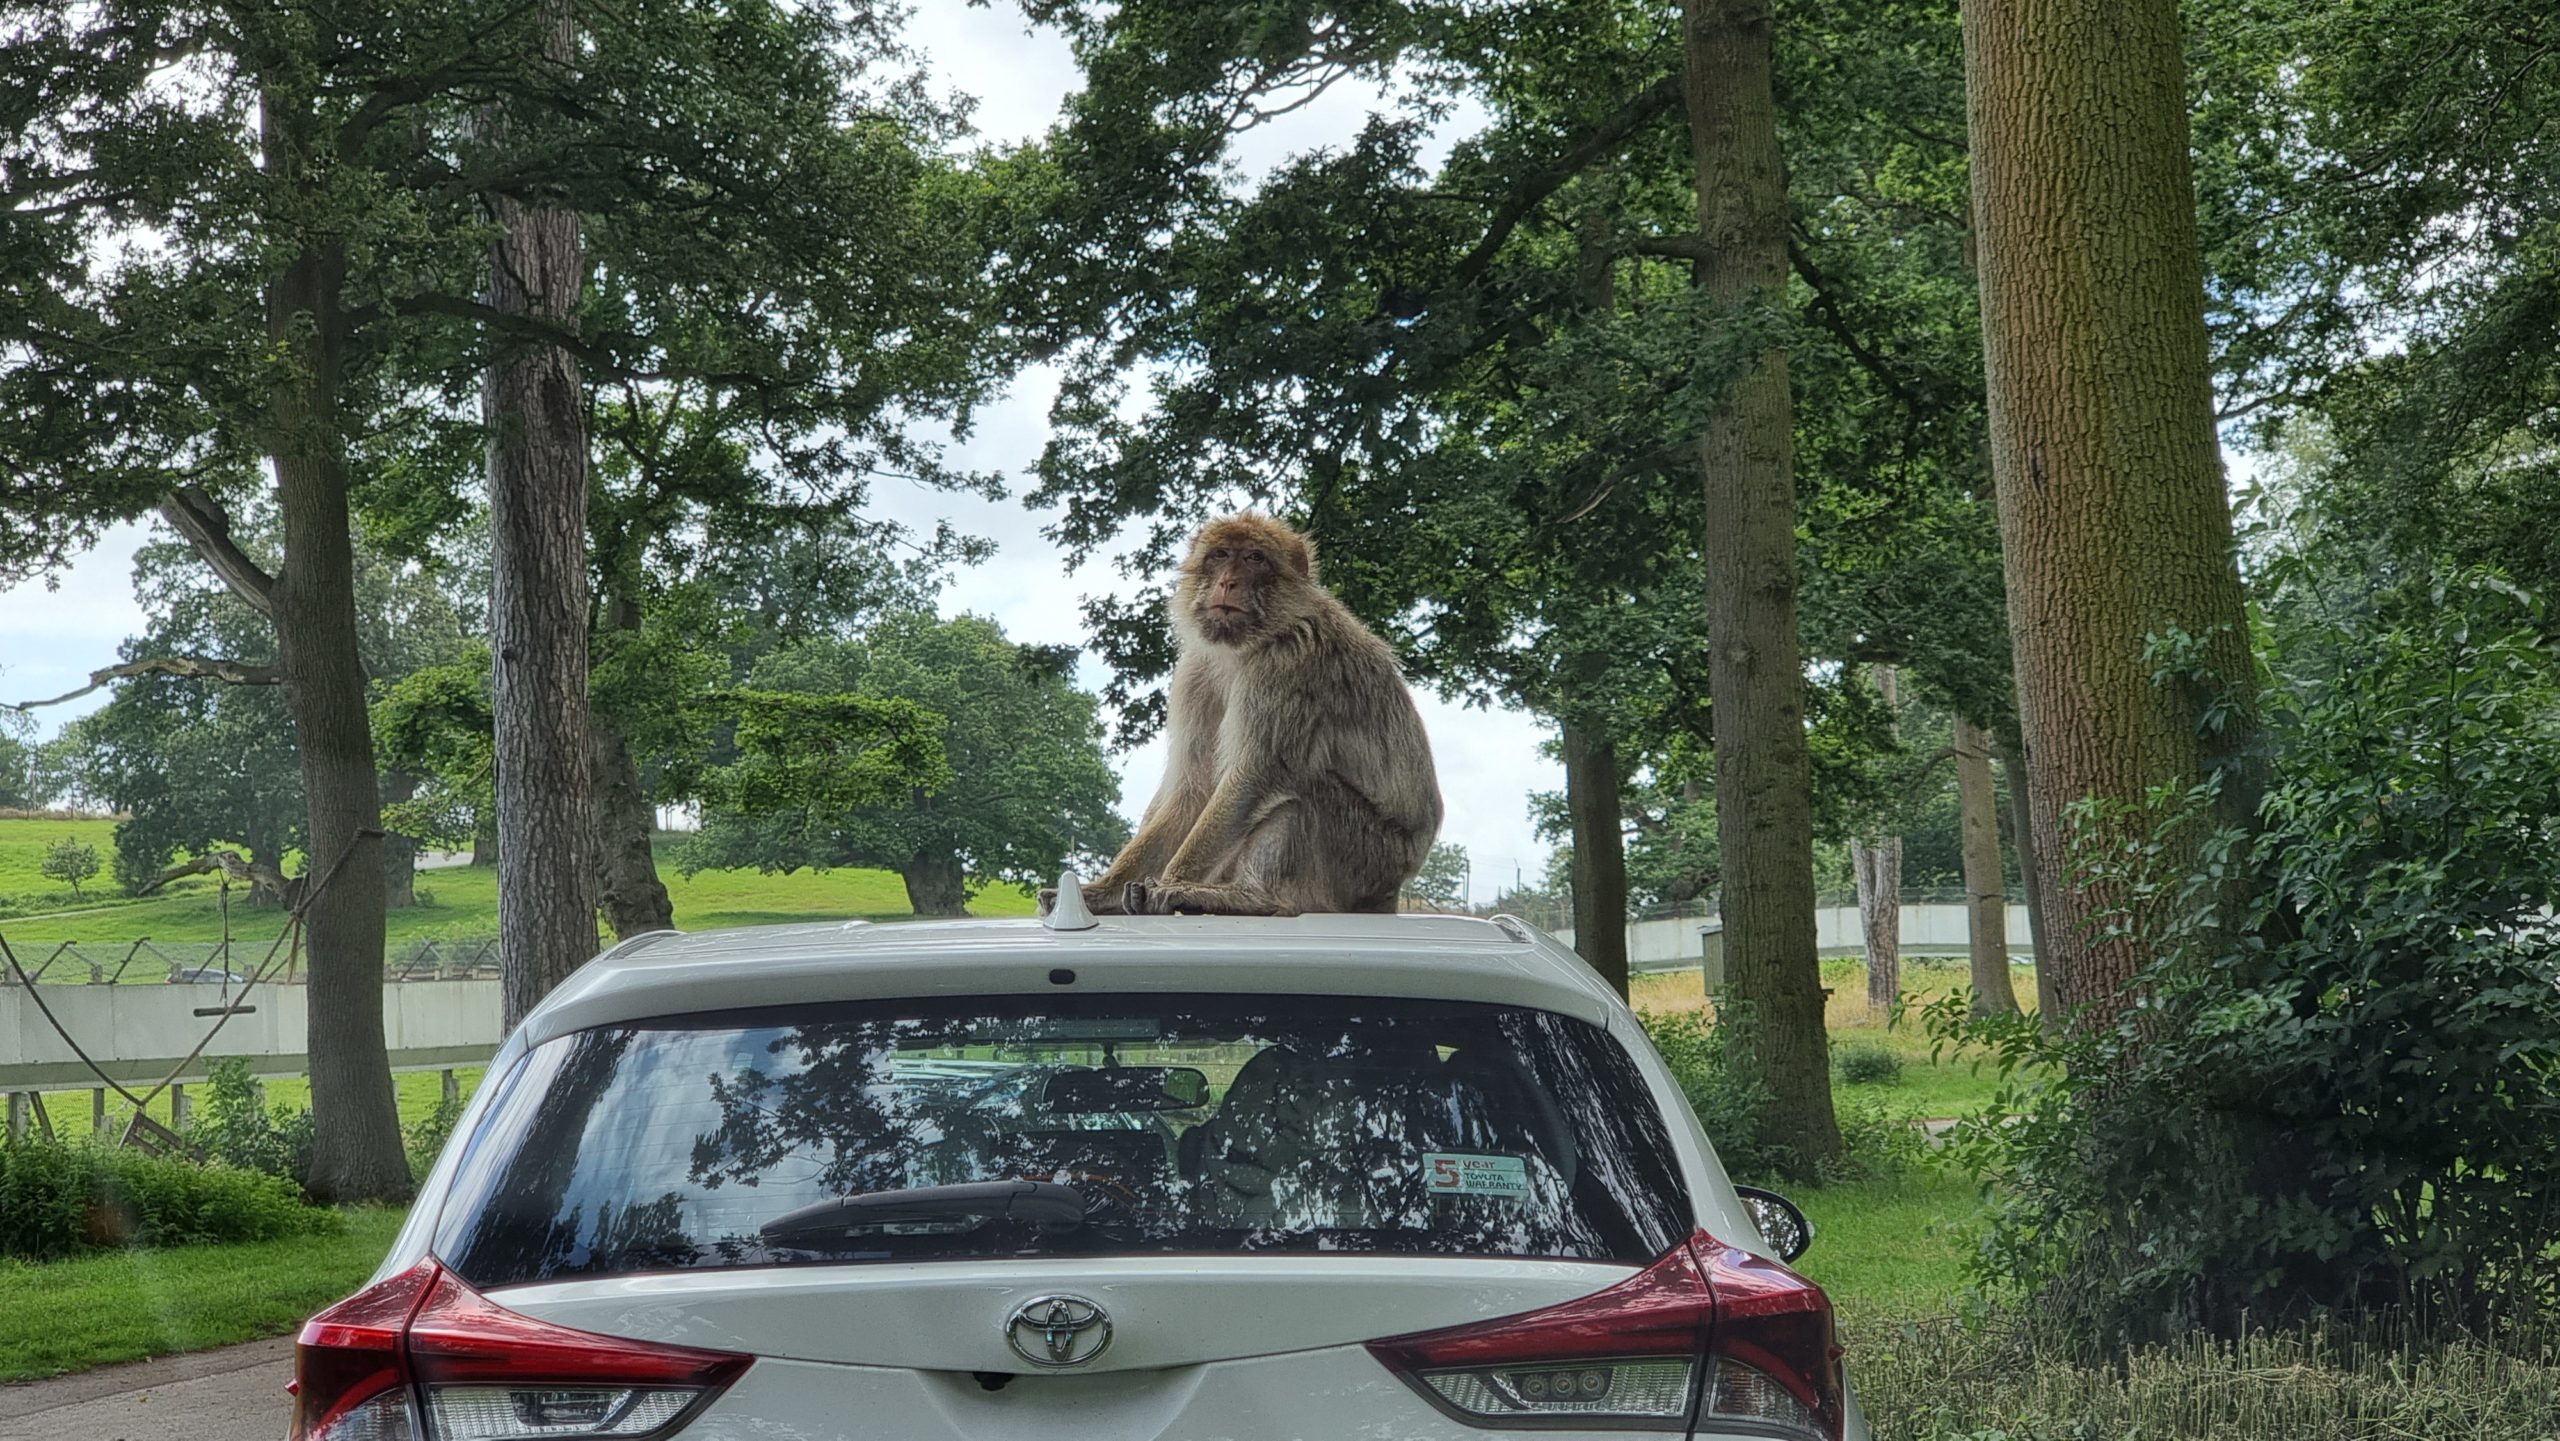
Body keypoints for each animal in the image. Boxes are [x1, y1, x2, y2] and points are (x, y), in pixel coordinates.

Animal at [1058, 513, 1443, 918]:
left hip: (1369, 861)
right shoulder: (1195, 673)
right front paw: (1101, 892)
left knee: (1304, 785)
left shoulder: (1288, 664)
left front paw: (1170, 884)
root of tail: (1393, 891)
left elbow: (1255, 775)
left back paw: (1250, 897)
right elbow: (1193, 788)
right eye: (1221, 555)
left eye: (1255, 558)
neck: (1248, 646)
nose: (1228, 582)